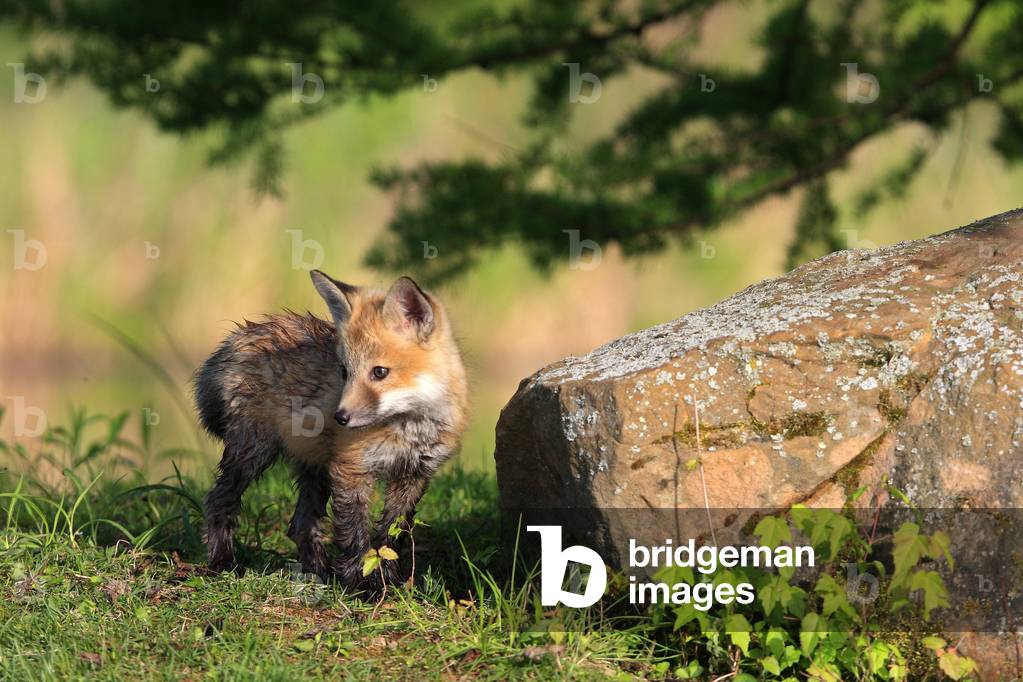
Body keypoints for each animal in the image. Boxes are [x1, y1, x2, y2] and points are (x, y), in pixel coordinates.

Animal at [194, 270, 468, 588]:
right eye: (345, 372)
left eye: (380, 372)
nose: (340, 417)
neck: (408, 428)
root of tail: (239, 336)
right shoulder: (350, 469)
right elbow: (354, 533)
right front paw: (361, 583)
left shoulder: (414, 475)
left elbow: (391, 535)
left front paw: (388, 580)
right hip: (254, 454)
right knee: (218, 501)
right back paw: (223, 561)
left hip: (315, 469)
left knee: (301, 523)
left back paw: (318, 571)